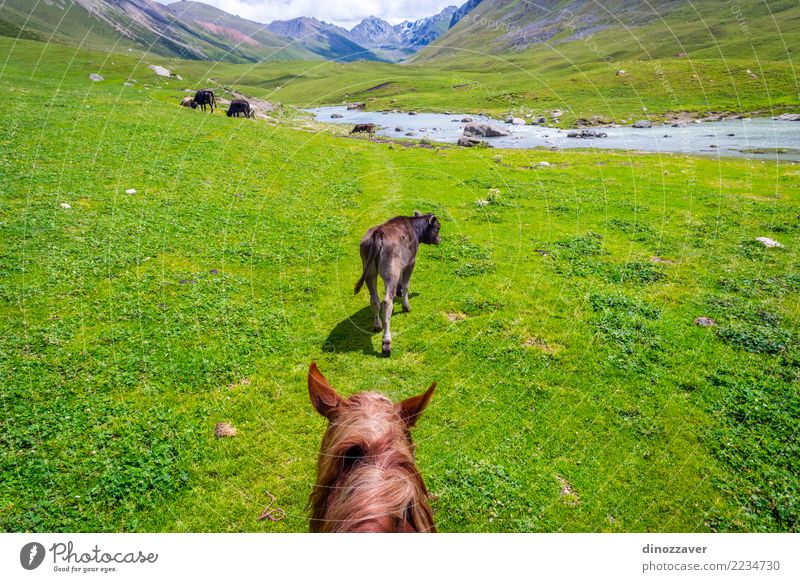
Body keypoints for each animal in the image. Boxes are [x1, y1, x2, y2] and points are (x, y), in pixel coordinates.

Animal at [356, 210, 444, 356]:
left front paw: (398, 291)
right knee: (387, 302)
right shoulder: (411, 262)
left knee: (375, 300)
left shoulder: (401, 265)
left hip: (370, 272)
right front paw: (406, 306)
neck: (414, 228)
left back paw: (377, 325)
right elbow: (406, 284)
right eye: (438, 227)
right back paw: (386, 344)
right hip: (390, 273)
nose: (439, 239)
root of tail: (378, 232)